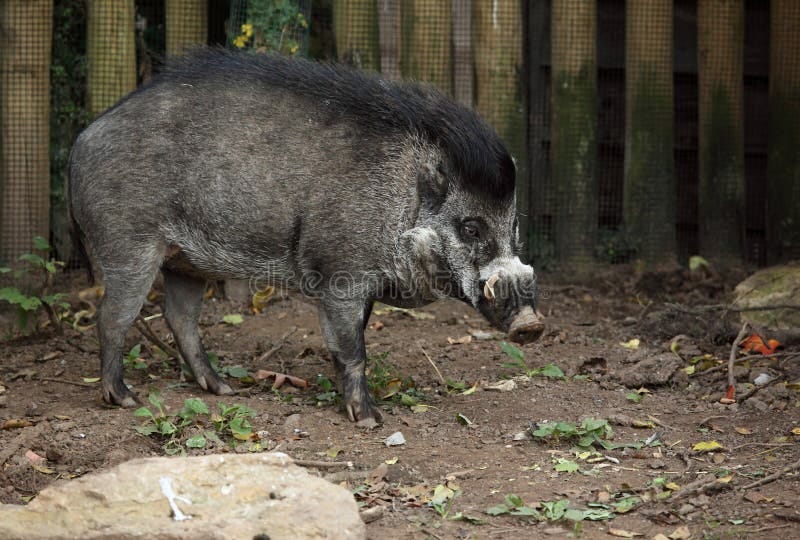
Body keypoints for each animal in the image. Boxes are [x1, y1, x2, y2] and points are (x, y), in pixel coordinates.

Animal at [68, 49, 544, 424]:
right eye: (470, 227)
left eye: (514, 225)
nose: (531, 324)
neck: (401, 201)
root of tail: (83, 138)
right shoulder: (340, 274)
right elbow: (352, 347)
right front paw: (369, 419)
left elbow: (347, 341)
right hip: (129, 245)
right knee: (112, 317)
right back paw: (124, 400)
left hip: (187, 263)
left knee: (179, 318)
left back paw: (223, 389)